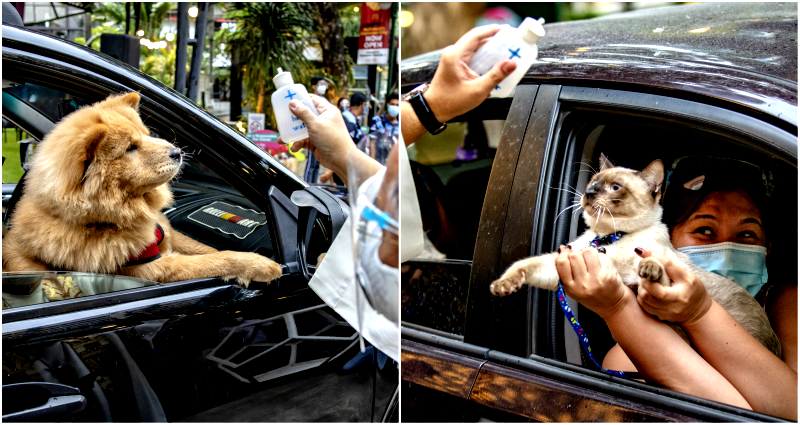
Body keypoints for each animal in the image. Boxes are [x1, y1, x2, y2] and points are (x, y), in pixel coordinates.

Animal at [1, 91, 282, 286]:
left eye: (147, 134)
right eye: (130, 148)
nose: (178, 152)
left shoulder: (167, 233)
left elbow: (207, 249)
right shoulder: (153, 268)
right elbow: (212, 260)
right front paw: (263, 265)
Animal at [490, 154, 780, 356]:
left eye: (615, 187)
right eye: (593, 183)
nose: (588, 193)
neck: (609, 237)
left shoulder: (659, 277)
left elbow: (653, 266)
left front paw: (649, 269)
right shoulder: (560, 264)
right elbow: (526, 265)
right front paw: (502, 284)